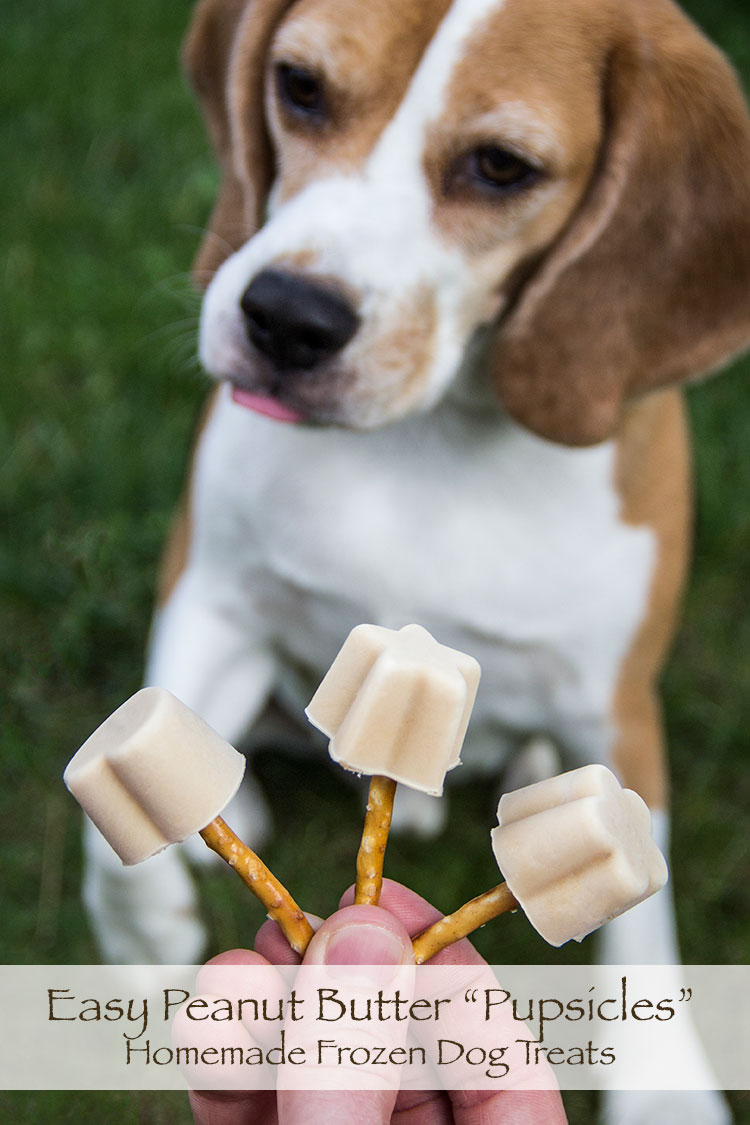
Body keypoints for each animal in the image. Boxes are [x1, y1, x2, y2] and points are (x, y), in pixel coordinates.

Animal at [84, 0, 746, 1116]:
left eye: (502, 167)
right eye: (301, 87)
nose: (285, 318)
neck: (423, 444)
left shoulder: (615, 706)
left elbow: (642, 920)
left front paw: (664, 1086)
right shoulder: (211, 593)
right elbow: (129, 795)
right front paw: (144, 941)